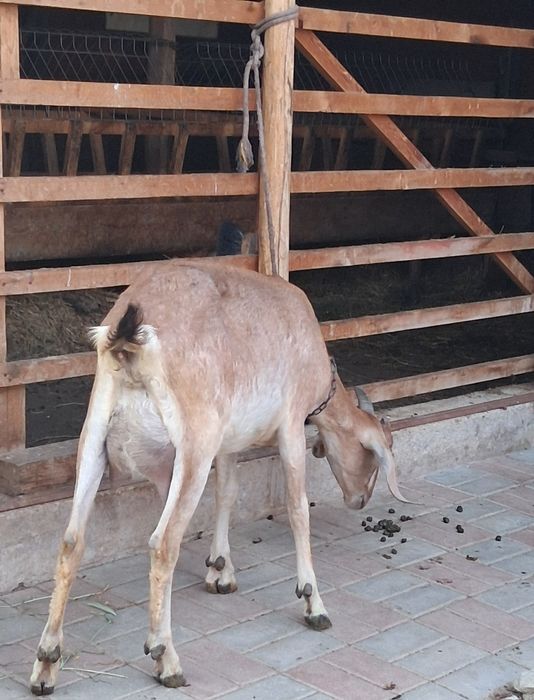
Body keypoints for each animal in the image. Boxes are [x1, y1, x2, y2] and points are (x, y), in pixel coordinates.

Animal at [30, 260, 409, 695]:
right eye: (374, 458)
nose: (360, 500)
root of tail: (131, 339)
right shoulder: (290, 427)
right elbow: (298, 508)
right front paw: (313, 601)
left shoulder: (229, 440)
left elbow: (228, 492)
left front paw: (219, 570)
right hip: (194, 445)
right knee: (163, 543)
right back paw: (166, 658)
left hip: (94, 437)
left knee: (72, 541)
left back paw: (47, 662)